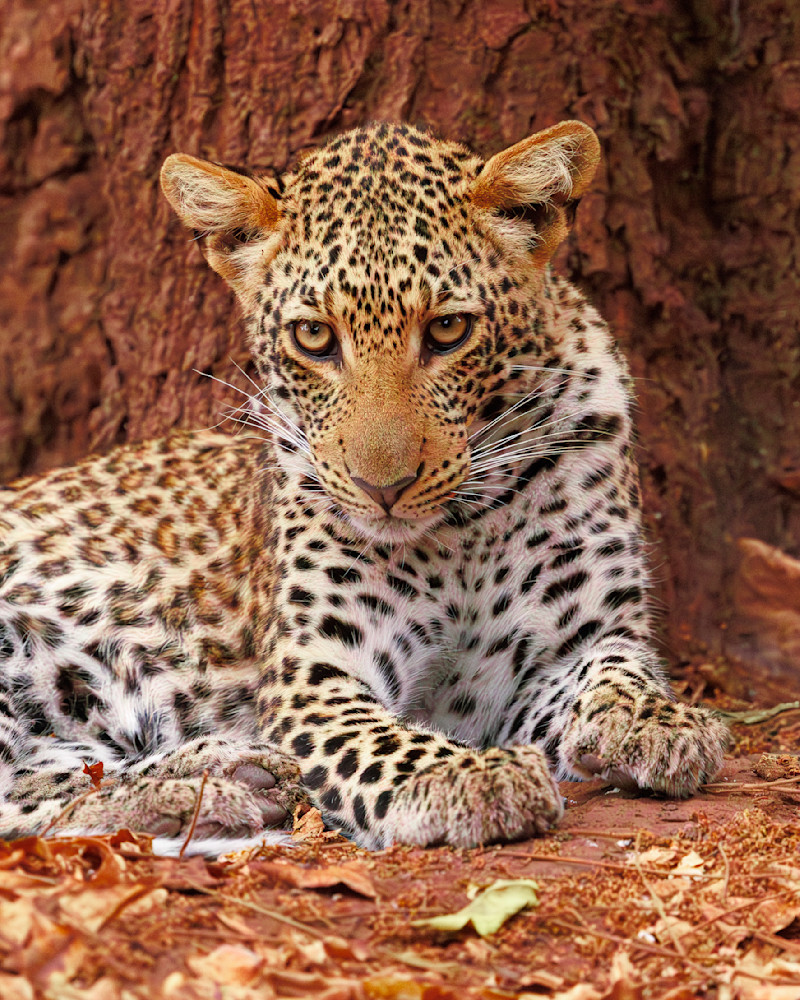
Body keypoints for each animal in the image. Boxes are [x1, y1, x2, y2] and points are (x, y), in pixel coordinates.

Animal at [0, 120, 728, 853]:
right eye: (314, 336)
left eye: (448, 329)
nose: (384, 487)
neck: (464, 531)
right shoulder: (316, 678)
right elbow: (381, 742)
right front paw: (466, 775)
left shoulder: (583, 639)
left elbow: (618, 671)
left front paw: (658, 723)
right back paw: (204, 790)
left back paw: (221, 774)